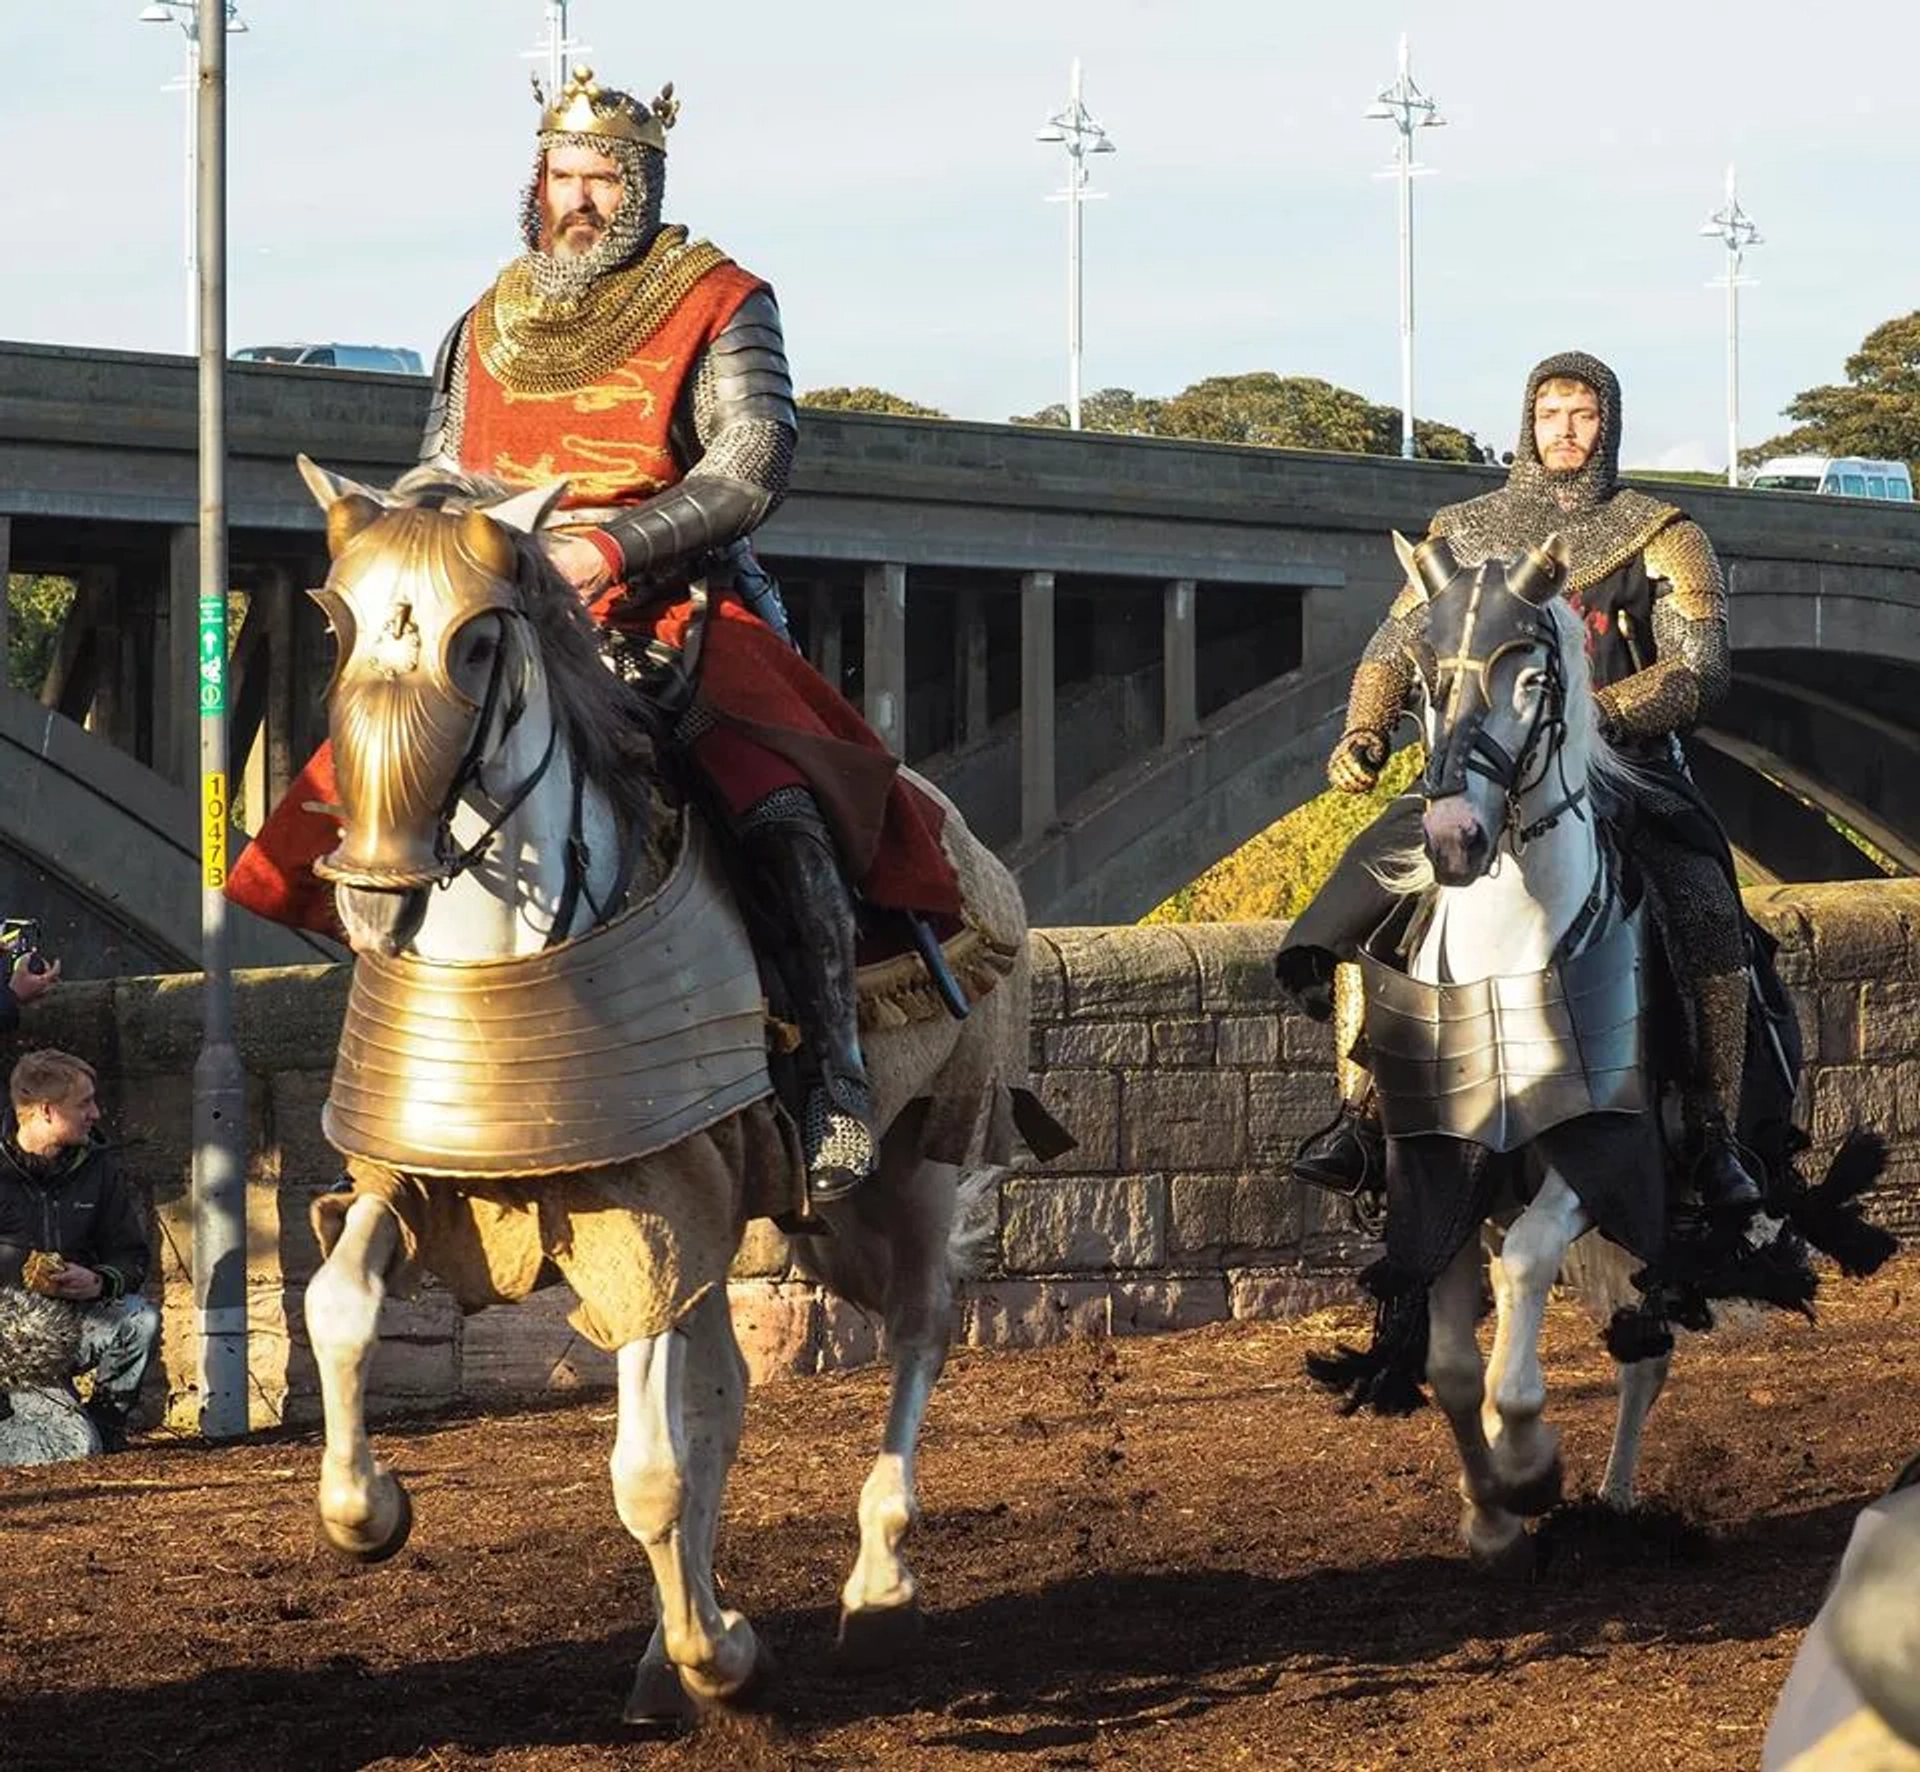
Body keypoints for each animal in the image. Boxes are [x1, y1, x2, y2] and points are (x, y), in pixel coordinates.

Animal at [286, 464, 1075, 1727]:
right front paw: (370, 1510)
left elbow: (649, 1470)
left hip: (918, 1156)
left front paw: (726, 1653)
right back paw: (672, 1646)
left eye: (476, 640)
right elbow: (340, 1304)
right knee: (728, 1384)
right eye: (338, 624)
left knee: (918, 1328)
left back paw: (876, 1582)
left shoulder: (653, 1208)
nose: (370, 883)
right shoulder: (425, 1175)